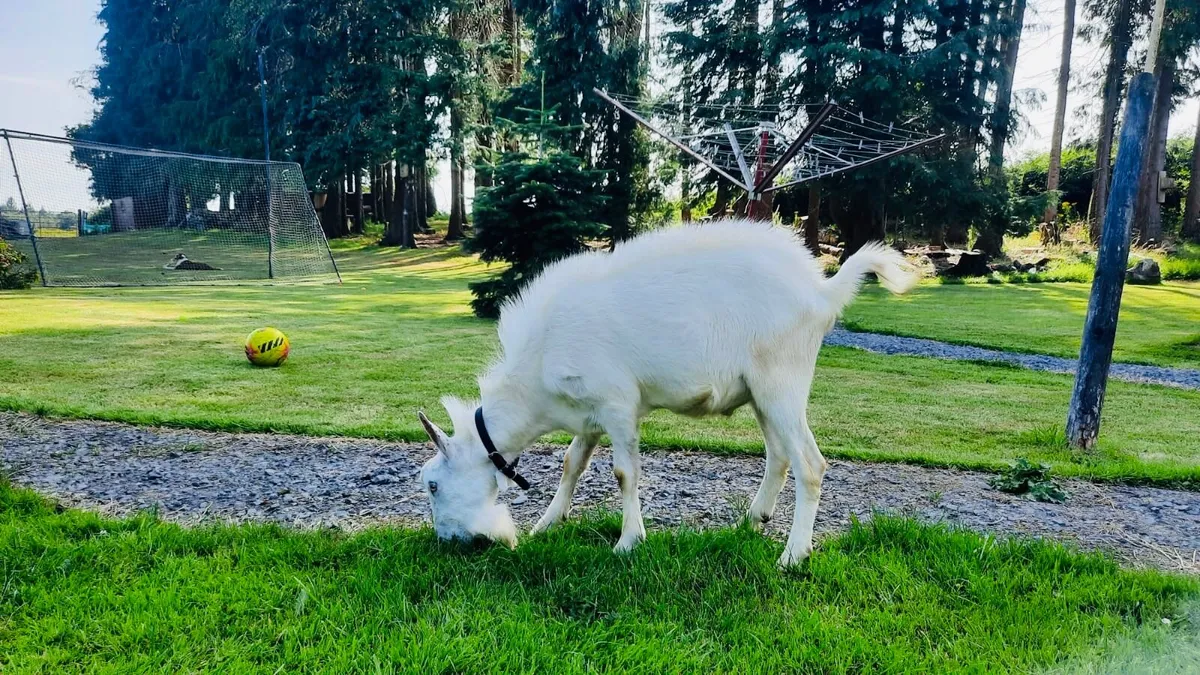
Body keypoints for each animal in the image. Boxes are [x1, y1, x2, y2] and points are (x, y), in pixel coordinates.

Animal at [418, 219, 918, 566]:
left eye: (433, 485)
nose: (447, 542)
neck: (538, 367)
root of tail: (822, 292)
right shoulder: (589, 414)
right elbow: (571, 464)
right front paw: (546, 523)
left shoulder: (618, 405)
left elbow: (624, 473)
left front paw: (627, 542)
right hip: (761, 392)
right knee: (779, 454)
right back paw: (753, 519)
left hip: (783, 379)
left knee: (810, 465)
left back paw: (793, 555)